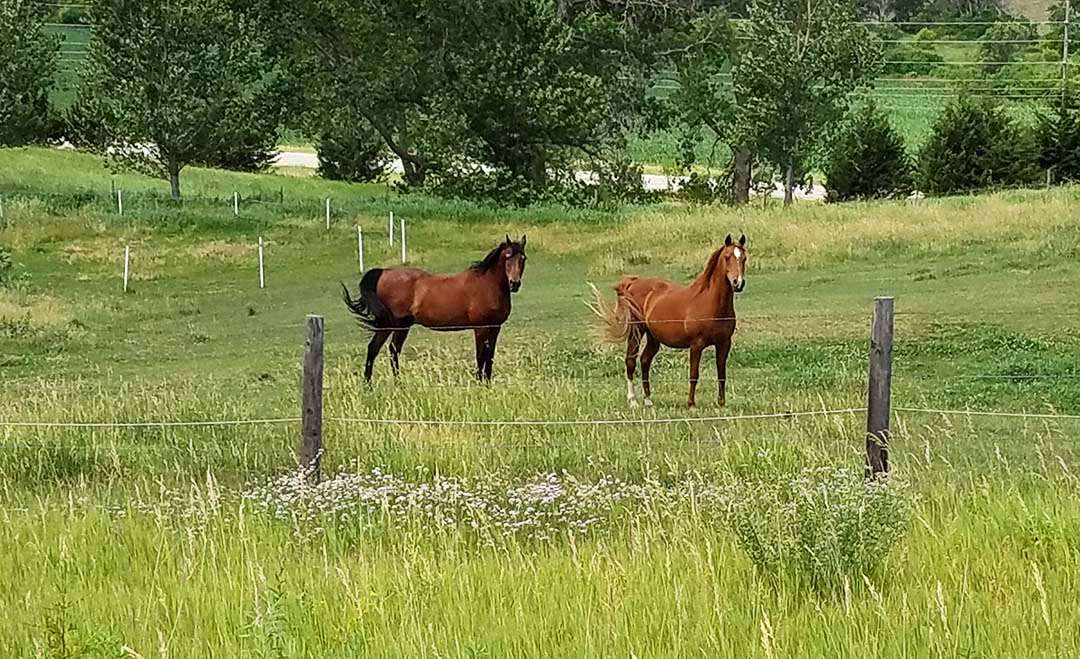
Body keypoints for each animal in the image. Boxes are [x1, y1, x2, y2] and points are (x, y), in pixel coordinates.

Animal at [334, 234, 524, 380]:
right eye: (507, 256)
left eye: (523, 258)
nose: (514, 284)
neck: (486, 285)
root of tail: (383, 272)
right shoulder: (481, 328)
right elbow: (480, 357)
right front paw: (480, 382)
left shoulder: (495, 327)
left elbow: (489, 357)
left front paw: (487, 383)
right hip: (390, 324)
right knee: (378, 349)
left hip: (401, 326)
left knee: (390, 350)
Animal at [591, 231, 751, 406]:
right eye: (727, 257)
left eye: (744, 258)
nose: (738, 283)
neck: (711, 303)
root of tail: (633, 283)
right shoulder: (696, 345)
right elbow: (694, 374)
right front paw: (691, 404)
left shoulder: (724, 344)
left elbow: (721, 374)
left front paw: (721, 403)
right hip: (636, 331)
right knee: (631, 361)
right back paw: (633, 401)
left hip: (653, 337)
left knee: (645, 360)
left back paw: (648, 400)